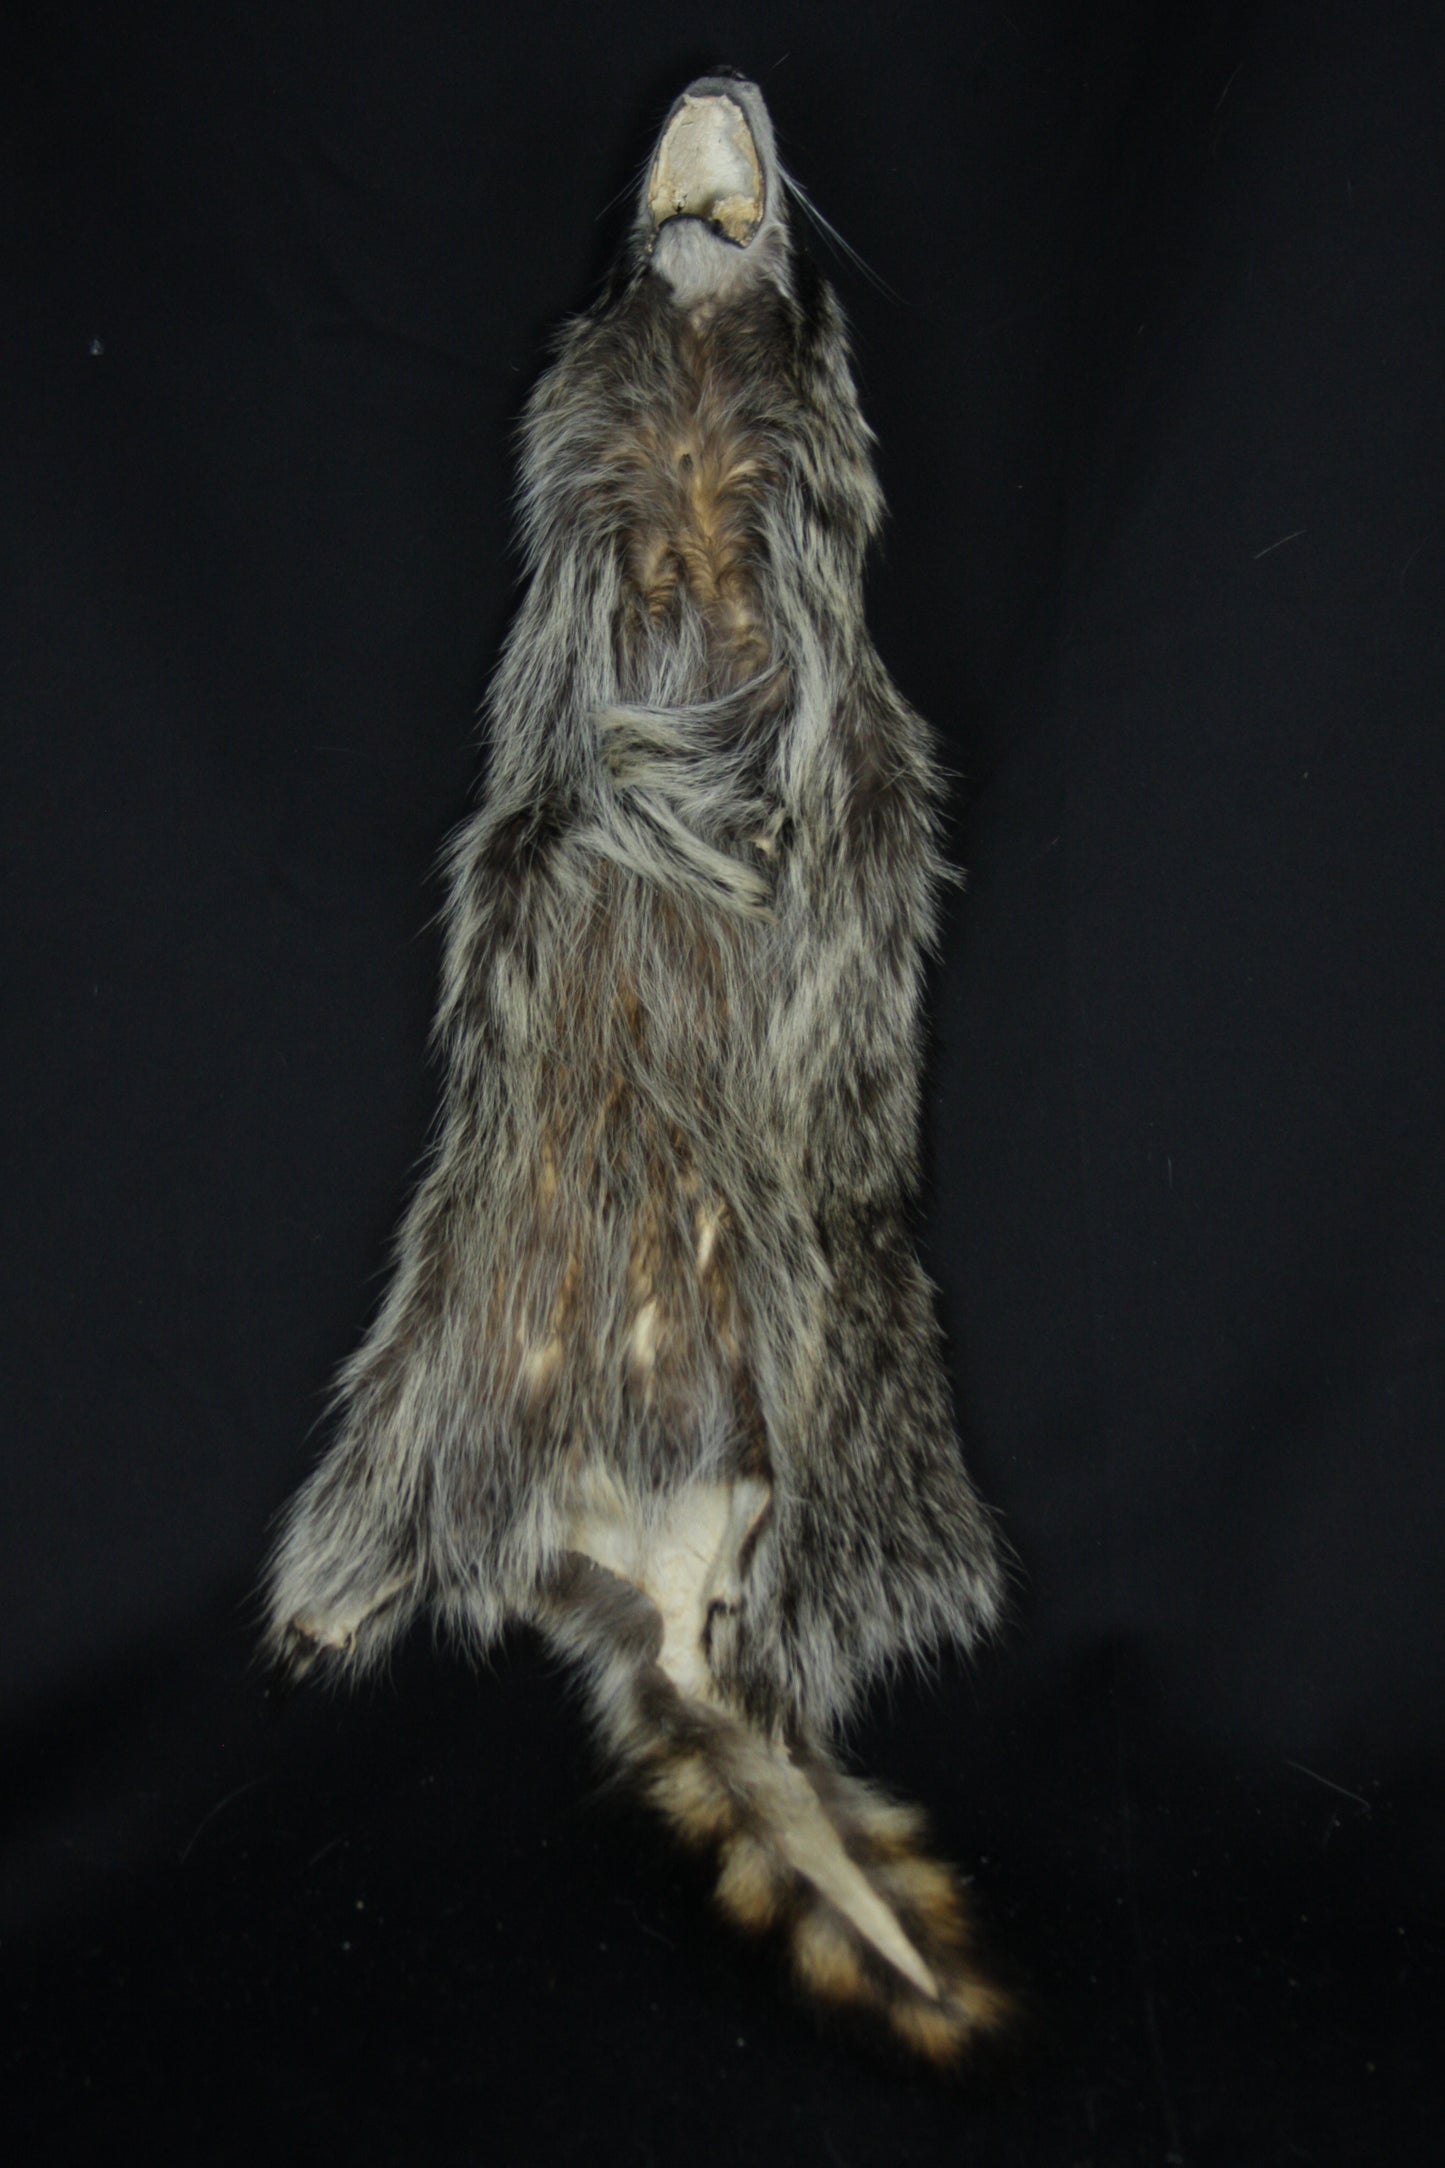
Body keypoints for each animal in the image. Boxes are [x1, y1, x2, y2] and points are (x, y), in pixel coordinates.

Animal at [264, 75, 1008, 2063]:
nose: (718, 84)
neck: (690, 394)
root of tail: (660, 1573)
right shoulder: (581, 592)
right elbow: (570, 757)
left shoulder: (824, 632)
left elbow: (836, 764)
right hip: (450, 1358)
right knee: (398, 1471)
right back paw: (345, 1586)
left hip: (857, 1418)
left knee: (849, 1548)